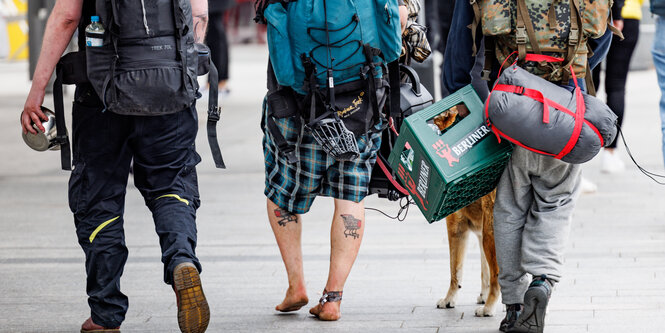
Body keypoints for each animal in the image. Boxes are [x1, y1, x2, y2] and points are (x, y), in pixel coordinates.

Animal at [430, 106, 498, 316]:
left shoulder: (456, 228)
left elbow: (455, 271)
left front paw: (449, 300)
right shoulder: (480, 233)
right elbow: (484, 271)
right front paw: (482, 295)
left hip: (491, 234)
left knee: (498, 276)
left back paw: (489, 308)